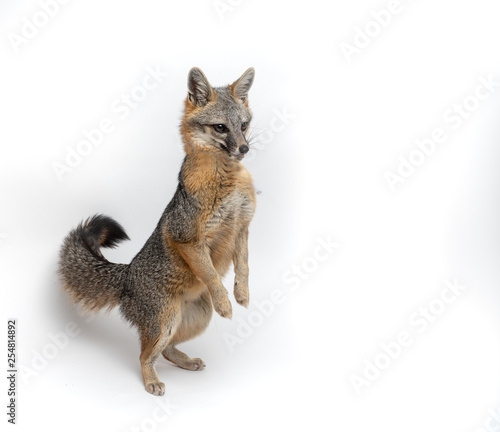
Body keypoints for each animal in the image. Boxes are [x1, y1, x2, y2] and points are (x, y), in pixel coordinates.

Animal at [57, 66, 258, 394]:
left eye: (243, 125)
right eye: (220, 128)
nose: (244, 148)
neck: (226, 180)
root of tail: (127, 274)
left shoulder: (242, 227)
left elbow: (244, 266)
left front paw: (242, 294)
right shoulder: (188, 238)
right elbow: (212, 275)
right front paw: (226, 302)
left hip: (192, 320)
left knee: (165, 350)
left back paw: (186, 362)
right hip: (166, 322)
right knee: (144, 355)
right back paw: (151, 381)